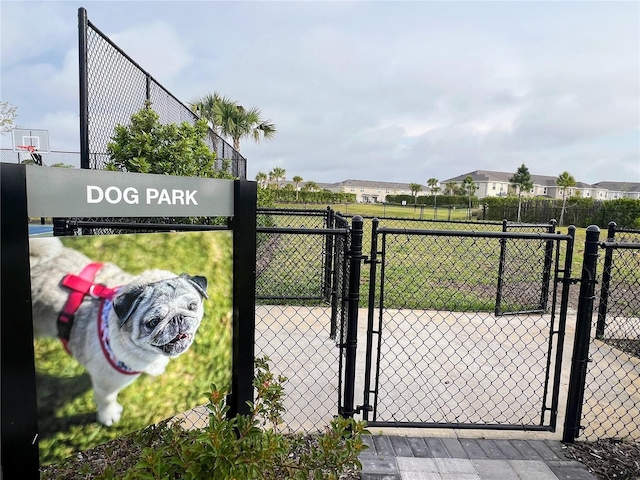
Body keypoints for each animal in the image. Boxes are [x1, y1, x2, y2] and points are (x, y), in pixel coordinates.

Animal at [28, 238, 209, 426]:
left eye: (192, 306)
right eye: (153, 322)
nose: (177, 318)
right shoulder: (105, 383)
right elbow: (106, 400)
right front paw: (108, 416)